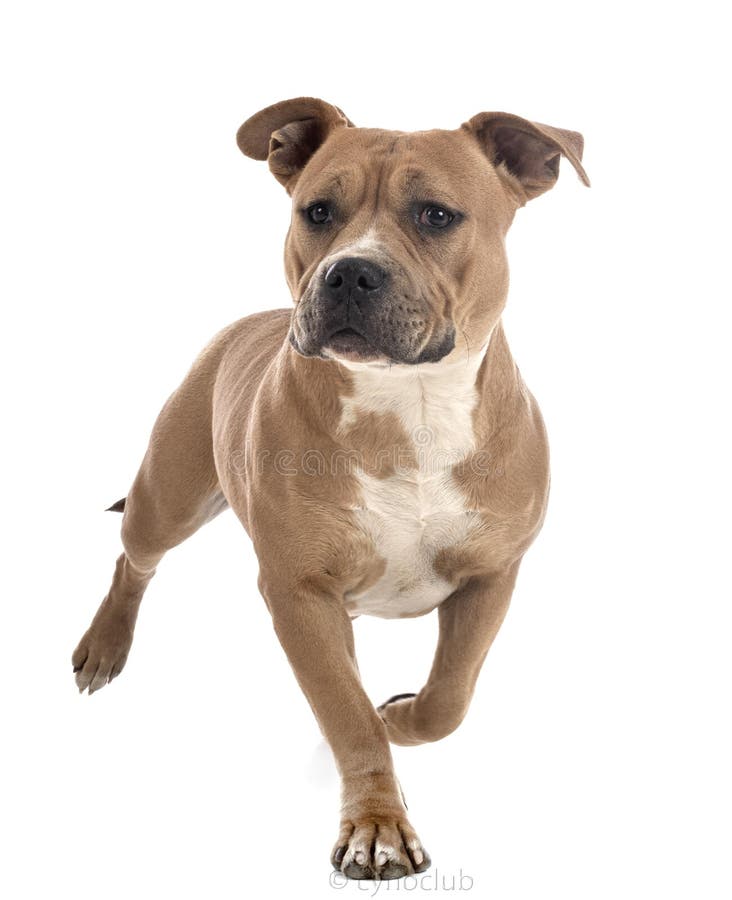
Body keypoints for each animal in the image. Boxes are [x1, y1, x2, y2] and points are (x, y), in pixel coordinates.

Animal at [73, 96, 588, 880]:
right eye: (317, 211)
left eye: (436, 215)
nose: (349, 273)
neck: (409, 407)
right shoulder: (299, 592)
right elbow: (345, 712)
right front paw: (378, 823)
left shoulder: (491, 576)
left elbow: (448, 696)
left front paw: (398, 717)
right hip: (168, 497)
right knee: (134, 559)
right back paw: (105, 643)